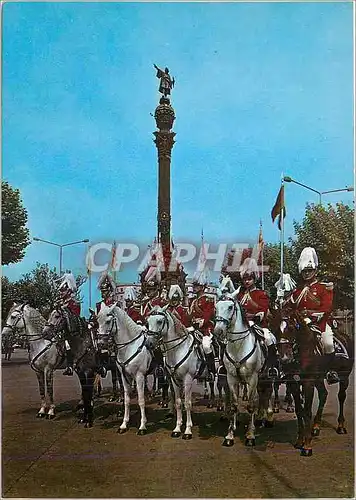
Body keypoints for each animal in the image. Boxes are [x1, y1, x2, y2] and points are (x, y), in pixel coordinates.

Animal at [96, 302, 152, 436]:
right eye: (97, 321)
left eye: (108, 321)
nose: (100, 344)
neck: (130, 346)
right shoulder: (124, 376)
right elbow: (126, 400)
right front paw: (124, 424)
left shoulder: (139, 376)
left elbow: (141, 400)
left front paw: (142, 426)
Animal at [146, 306, 204, 440]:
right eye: (148, 322)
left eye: (159, 321)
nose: (149, 343)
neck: (178, 349)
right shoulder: (174, 379)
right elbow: (178, 402)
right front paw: (177, 428)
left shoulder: (188, 379)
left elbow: (187, 403)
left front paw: (188, 430)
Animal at [214, 288, 272, 448]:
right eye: (216, 307)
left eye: (230, 307)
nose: (218, 331)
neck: (239, 346)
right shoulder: (232, 379)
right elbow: (234, 405)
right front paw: (229, 435)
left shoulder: (252, 378)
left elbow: (251, 405)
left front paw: (250, 435)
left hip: (264, 377)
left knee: (265, 395)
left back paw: (266, 417)